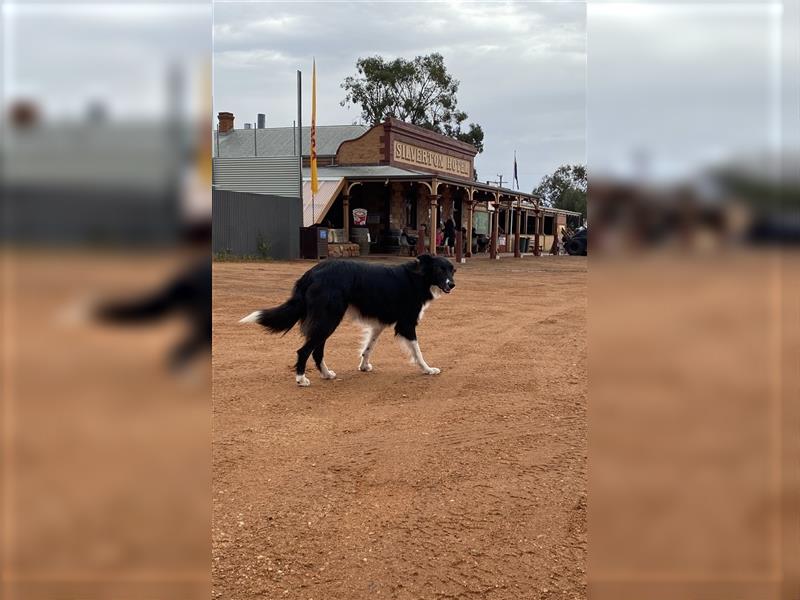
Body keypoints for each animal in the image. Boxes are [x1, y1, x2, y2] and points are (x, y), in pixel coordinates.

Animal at [239, 254, 456, 386]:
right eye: (440, 270)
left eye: (452, 270)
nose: (452, 284)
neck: (418, 277)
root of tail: (310, 273)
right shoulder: (407, 324)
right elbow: (417, 351)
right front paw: (428, 369)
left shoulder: (379, 324)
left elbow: (368, 347)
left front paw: (363, 366)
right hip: (328, 320)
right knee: (305, 350)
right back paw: (301, 379)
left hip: (326, 321)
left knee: (316, 351)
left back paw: (326, 374)